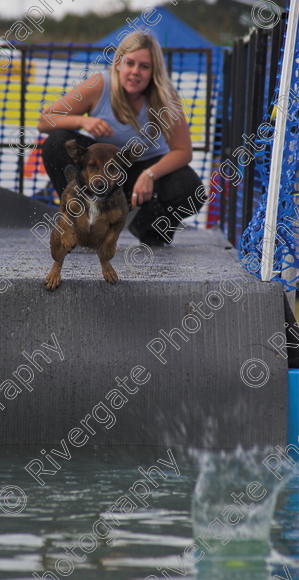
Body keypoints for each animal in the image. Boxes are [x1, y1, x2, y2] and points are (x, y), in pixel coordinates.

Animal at [43, 140, 129, 290]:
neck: (94, 197)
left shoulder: (121, 218)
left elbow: (112, 236)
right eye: (92, 165)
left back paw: (109, 270)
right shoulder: (66, 208)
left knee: (102, 257)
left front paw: (108, 250)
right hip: (55, 241)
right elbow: (66, 221)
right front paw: (68, 239)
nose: (101, 184)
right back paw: (54, 276)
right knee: (58, 260)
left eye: (112, 167)